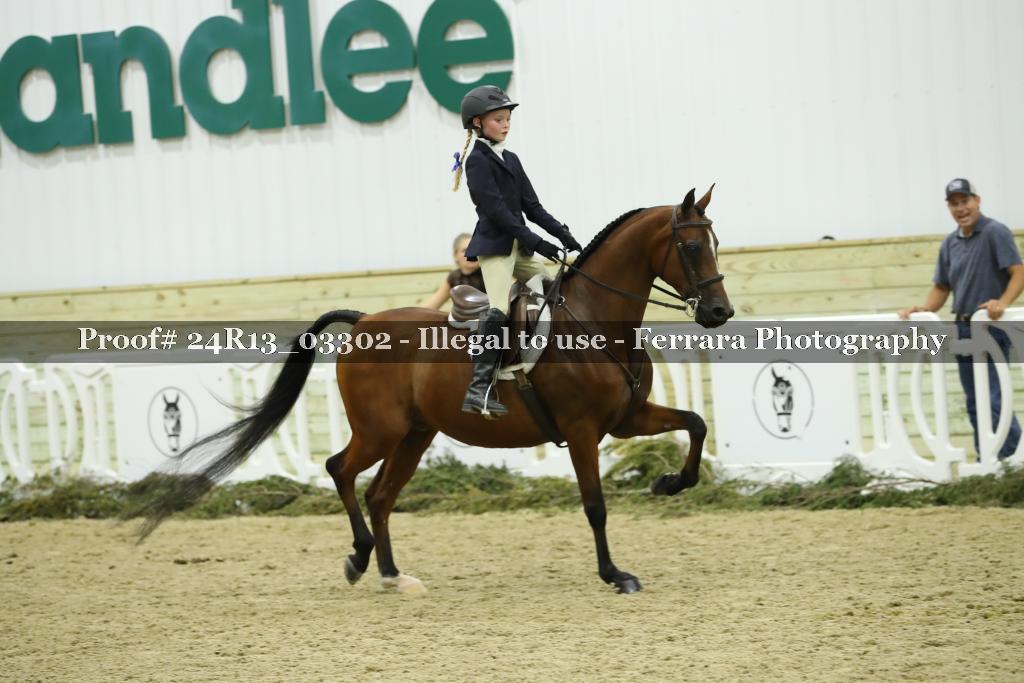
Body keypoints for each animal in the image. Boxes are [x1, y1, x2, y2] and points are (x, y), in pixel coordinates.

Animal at [130, 186, 733, 595]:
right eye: (691, 248)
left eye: (715, 243)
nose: (719, 312)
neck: (594, 321)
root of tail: (365, 320)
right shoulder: (583, 431)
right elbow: (595, 506)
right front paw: (614, 573)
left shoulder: (628, 418)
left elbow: (696, 424)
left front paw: (669, 483)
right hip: (381, 431)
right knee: (341, 470)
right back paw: (358, 558)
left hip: (415, 435)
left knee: (380, 495)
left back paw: (393, 575)